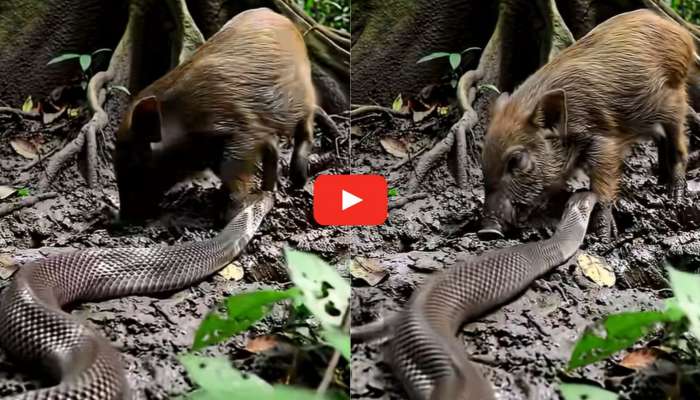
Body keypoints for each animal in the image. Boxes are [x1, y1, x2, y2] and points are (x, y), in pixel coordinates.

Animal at [114, 8, 316, 221]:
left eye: (134, 164)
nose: (121, 220)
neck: (184, 122)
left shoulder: (241, 131)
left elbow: (232, 172)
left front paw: (228, 214)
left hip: (304, 95)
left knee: (306, 130)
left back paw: (298, 181)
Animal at [477, 9, 697, 240]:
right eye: (483, 159)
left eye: (517, 160)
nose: (487, 231)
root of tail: (680, 33)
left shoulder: (603, 139)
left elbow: (602, 185)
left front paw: (604, 237)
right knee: (662, 140)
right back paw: (660, 181)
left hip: (674, 99)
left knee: (678, 144)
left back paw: (675, 197)